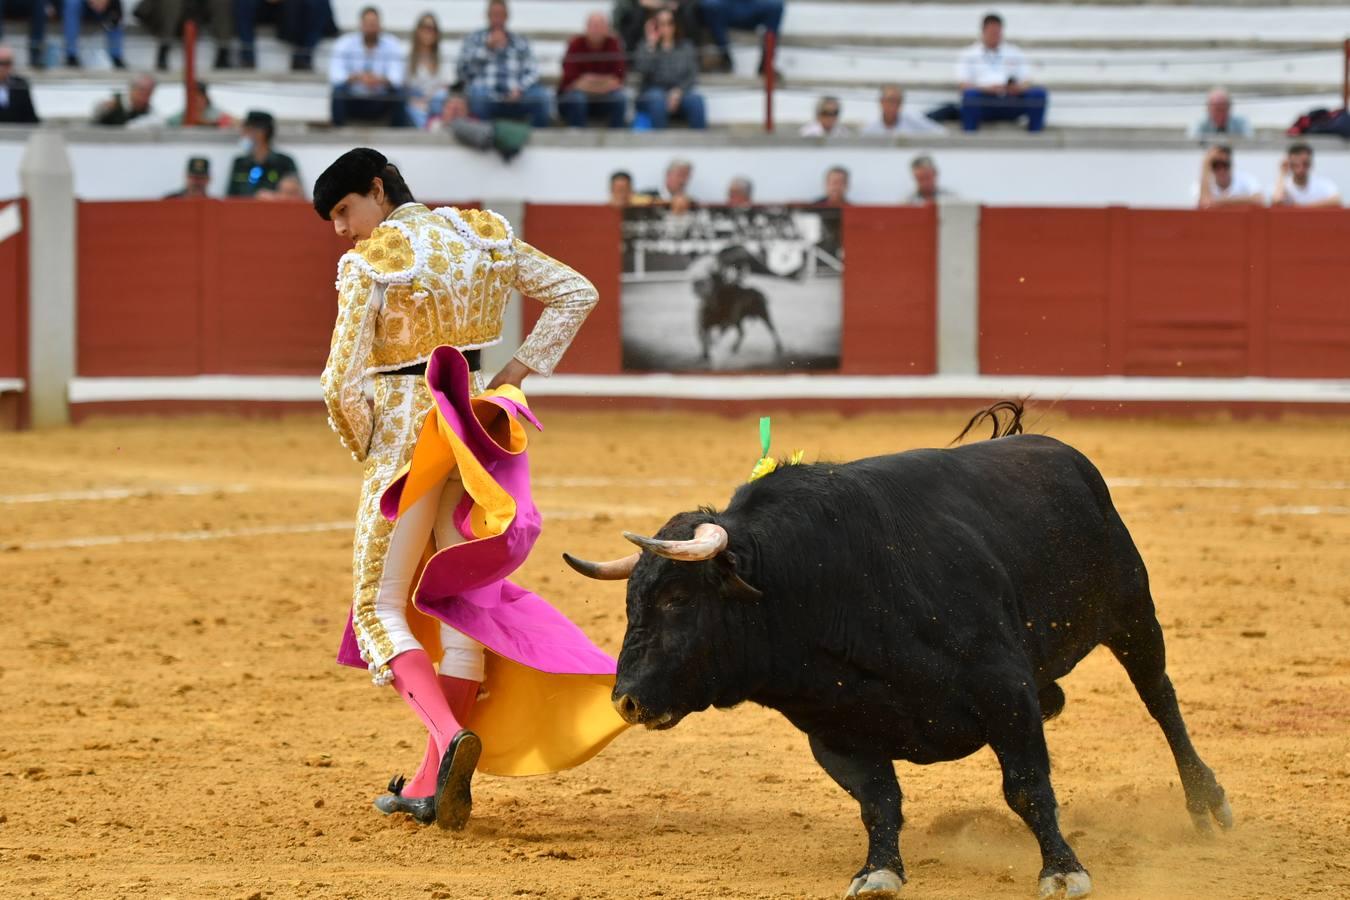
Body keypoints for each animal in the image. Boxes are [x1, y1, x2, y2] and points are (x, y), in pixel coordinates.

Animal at [567, 407, 1236, 900]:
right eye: (631, 600)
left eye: (678, 599)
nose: (626, 701)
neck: (821, 582)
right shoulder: (832, 727)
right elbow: (877, 799)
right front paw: (878, 871)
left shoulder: (1005, 690)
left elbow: (1026, 785)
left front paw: (1063, 870)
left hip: (1133, 613)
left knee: (1161, 700)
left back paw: (1207, 803)